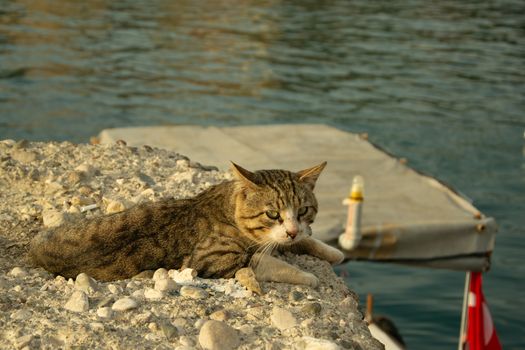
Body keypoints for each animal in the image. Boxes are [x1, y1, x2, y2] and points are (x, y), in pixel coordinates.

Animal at [29, 163, 344, 286]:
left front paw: (331, 251)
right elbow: (268, 262)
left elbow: (303, 239)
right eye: (272, 214)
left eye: (303, 210)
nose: (291, 229)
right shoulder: (214, 260)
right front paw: (307, 276)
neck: (228, 206)